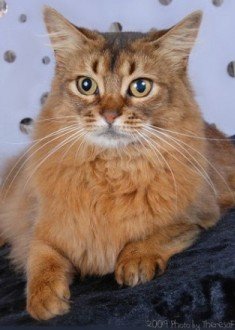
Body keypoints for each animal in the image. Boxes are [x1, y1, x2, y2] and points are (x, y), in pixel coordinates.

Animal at [0, 5, 235, 320]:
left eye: (140, 87)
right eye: (86, 85)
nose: (109, 115)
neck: (111, 171)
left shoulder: (200, 215)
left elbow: (160, 233)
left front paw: (135, 259)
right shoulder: (39, 228)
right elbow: (40, 257)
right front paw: (44, 298)